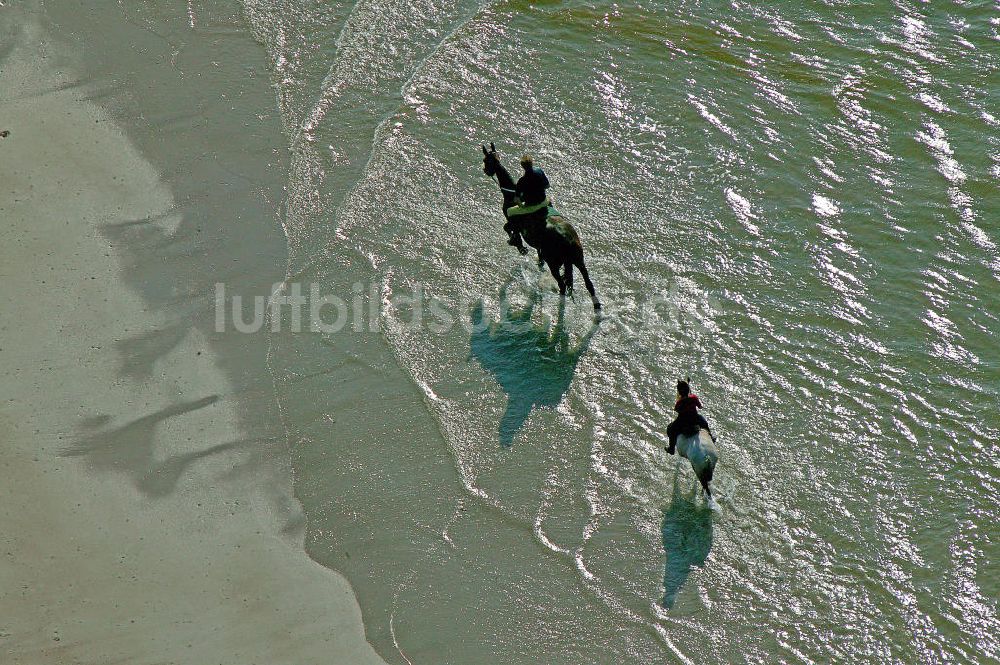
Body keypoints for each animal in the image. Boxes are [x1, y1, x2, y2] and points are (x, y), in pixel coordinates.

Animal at [482, 143, 600, 312]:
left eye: (486, 160)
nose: (485, 170)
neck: (511, 194)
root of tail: (568, 240)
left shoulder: (512, 221)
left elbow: (509, 230)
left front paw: (518, 245)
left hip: (555, 264)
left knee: (562, 284)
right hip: (579, 261)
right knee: (588, 284)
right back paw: (597, 307)